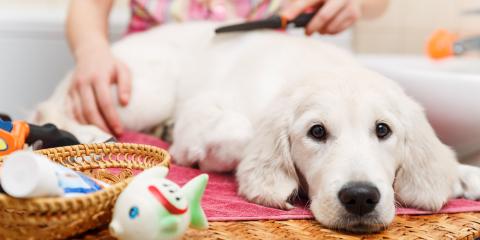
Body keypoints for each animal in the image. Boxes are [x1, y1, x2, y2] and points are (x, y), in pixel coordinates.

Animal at [31, 22, 480, 232]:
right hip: (141, 93)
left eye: (383, 130)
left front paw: (464, 175)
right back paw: (90, 134)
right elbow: (240, 132)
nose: (360, 198)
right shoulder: (203, 112)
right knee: (53, 107)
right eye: (317, 132)